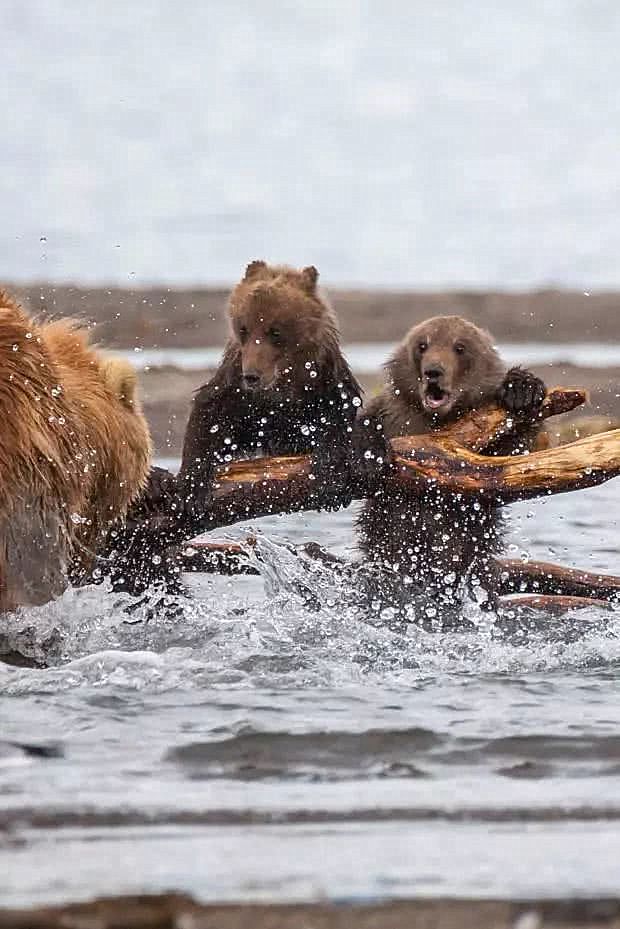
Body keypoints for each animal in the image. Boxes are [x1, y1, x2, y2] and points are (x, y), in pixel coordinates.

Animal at [356, 316, 544, 620]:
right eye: (422, 345)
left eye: (460, 347)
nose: (433, 371)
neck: (437, 420)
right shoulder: (393, 413)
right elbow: (365, 421)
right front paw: (365, 452)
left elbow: (510, 453)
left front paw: (522, 389)